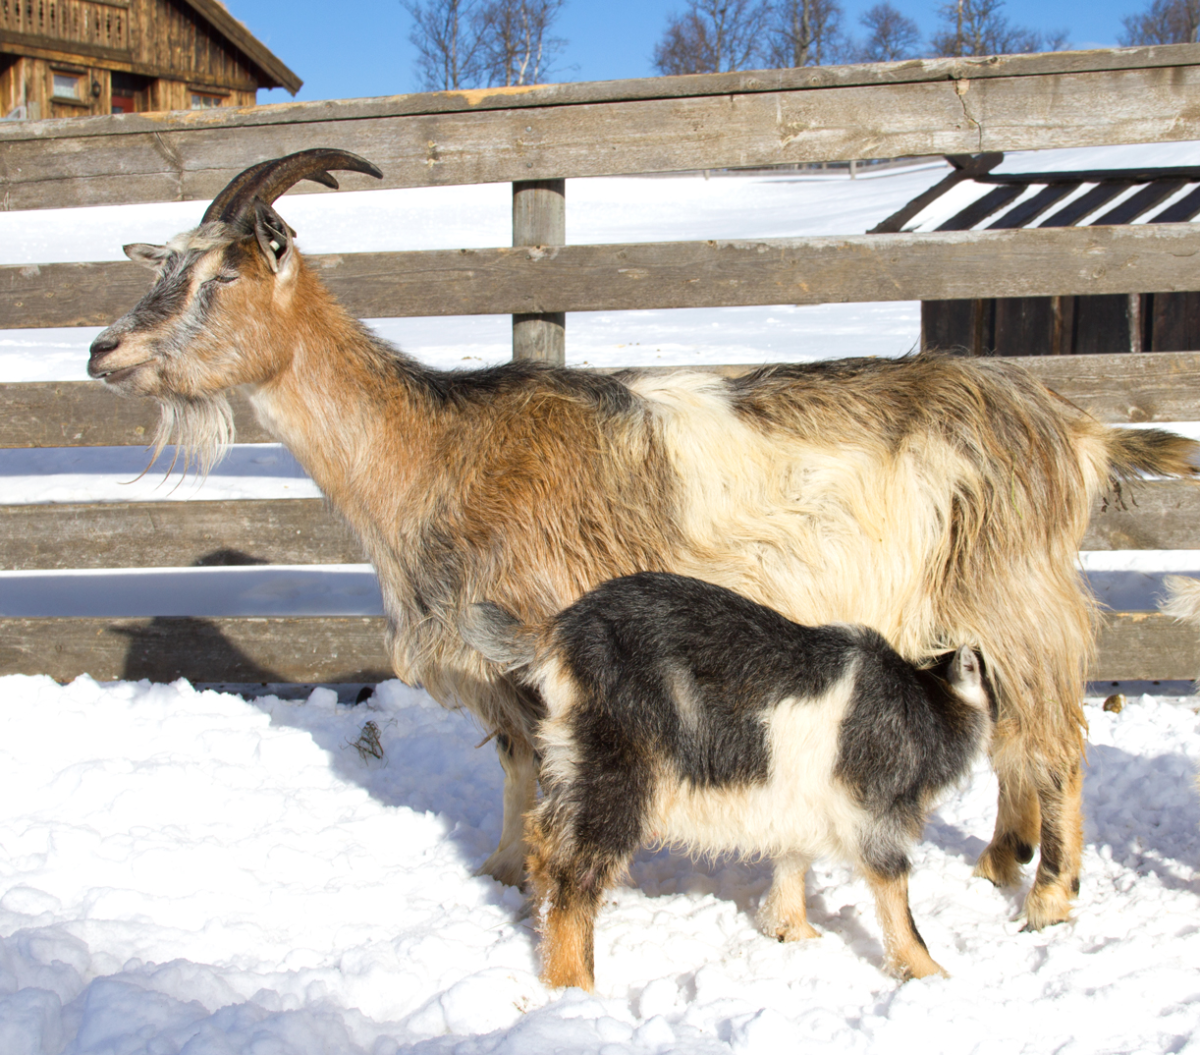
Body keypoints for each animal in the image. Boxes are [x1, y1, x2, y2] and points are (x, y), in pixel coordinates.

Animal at [86, 149, 1200, 931]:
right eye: (166, 268)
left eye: (225, 277)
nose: (103, 349)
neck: (439, 448)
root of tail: (1076, 429)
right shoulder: (498, 668)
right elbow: (514, 770)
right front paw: (498, 874)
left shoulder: (550, 646)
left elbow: (554, 781)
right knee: (1019, 733)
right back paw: (1001, 861)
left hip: (1015, 590)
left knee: (1059, 737)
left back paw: (1049, 896)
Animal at [460, 572, 993, 988]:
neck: (925, 701)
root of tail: (558, 634)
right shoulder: (877, 812)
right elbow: (895, 891)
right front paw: (928, 972)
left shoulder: (800, 803)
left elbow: (793, 860)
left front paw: (791, 930)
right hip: (620, 772)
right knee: (576, 869)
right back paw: (574, 985)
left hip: (575, 762)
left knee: (545, 841)